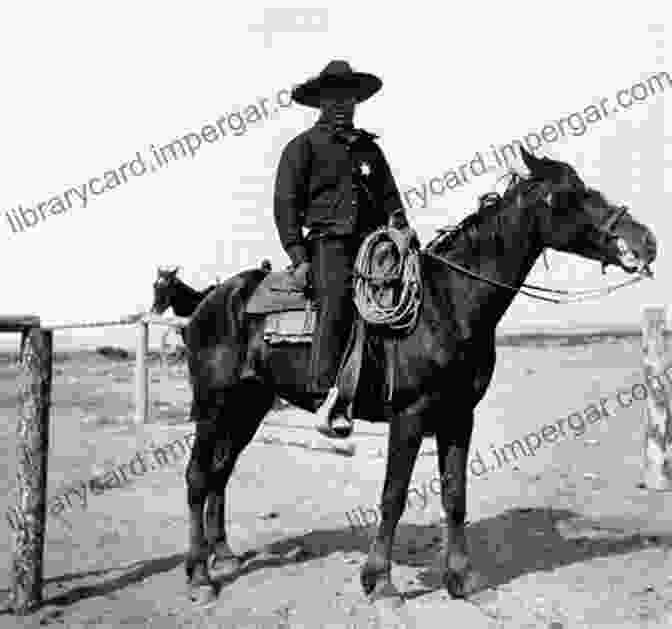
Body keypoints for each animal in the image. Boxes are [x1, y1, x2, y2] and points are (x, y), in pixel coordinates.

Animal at [181, 148, 652, 604]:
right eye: (572, 194)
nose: (645, 240)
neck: (448, 303)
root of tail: (213, 298)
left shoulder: (459, 416)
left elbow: (455, 494)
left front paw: (460, 577)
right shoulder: (409, 415)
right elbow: (393, 495)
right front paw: (380, 581)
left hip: (249, 404)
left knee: (220, 471)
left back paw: (223, 557)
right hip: (213, 406)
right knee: (198, 476)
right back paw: (200, 576)